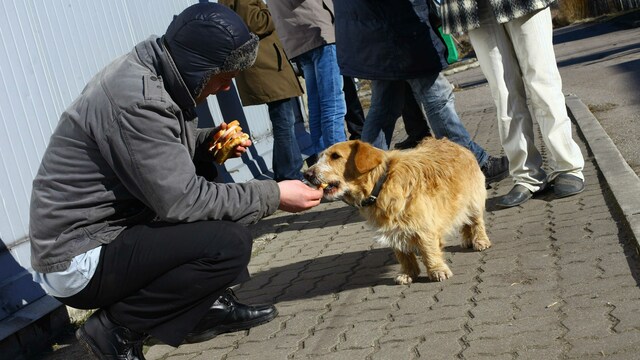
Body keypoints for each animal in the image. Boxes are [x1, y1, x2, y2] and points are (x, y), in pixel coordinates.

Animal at [304, 139, 490, 282]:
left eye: (335, 156)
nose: (306, 174)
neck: (382, 183)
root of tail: (456, 144)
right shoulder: (393, 228)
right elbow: (403, 253)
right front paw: (409, 273)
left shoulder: (423, 226)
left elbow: (428, 248)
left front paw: (436, 270)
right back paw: (467, 239)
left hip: (473, 199)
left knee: (476, 221)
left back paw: (480, 240)